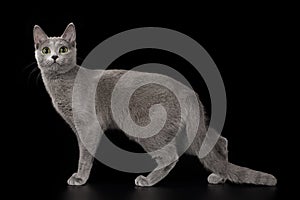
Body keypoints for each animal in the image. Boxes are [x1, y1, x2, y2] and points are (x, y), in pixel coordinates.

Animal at [32, 22, 276, 187]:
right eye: (45, 50)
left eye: (63, 49)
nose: (54, 56)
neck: (62, 84)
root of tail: (189, 92)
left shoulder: (88, 127)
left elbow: (85, 155)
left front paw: (80, 178)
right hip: (189, 130)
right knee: (220, 141)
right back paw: (220, 176)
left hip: (148, 128)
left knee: (170, 156)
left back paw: (147, 181)